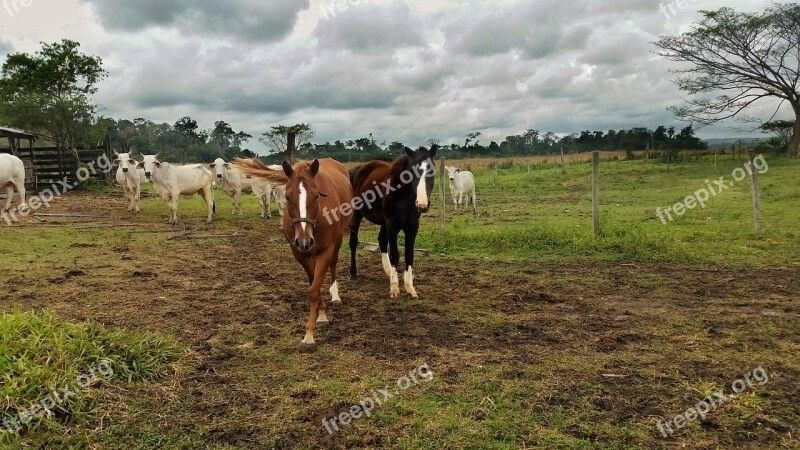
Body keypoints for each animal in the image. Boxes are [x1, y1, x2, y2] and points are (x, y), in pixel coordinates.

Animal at [234, 158, 354, 352]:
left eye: (317, 196)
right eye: (288, 197)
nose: (304, 240)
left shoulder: (325, 250)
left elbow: (314, 289)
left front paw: (309, 334)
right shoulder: (299, 253)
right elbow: (313, 285)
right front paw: (320, 315)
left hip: (337, 240)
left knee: (334, 264)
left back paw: (335, 294)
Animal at [350, 147, 438, 298]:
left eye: (431, 170)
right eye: (411, 172)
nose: (422, 204)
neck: (403, 196)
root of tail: (358, 169)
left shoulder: (412, 226)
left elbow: (409, 255)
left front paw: (410, 288)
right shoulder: (392, 225)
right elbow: (395, 255)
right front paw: (395, 288)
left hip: (383, 223)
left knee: (382, 241)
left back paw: (389, 272)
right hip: (357, 214)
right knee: (353, 241)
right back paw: (353, 273)